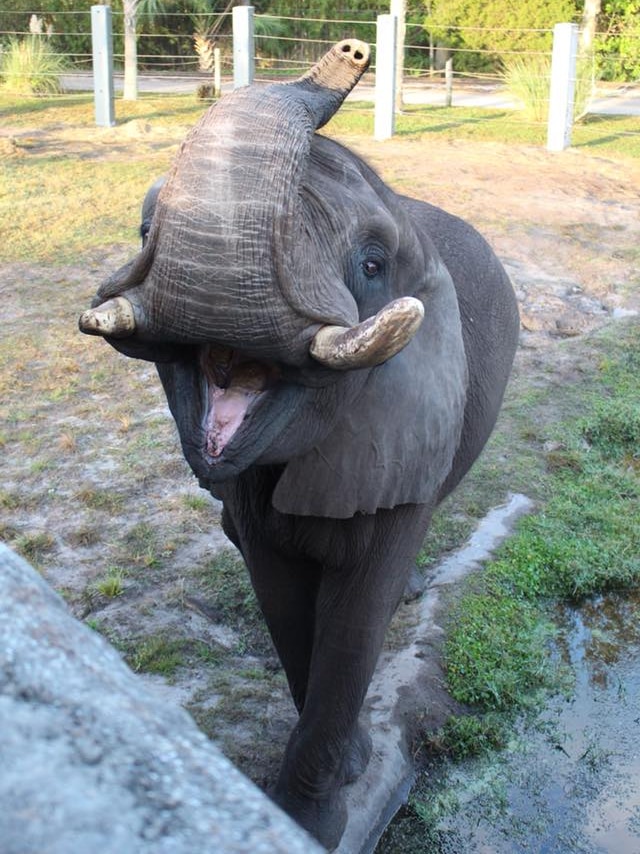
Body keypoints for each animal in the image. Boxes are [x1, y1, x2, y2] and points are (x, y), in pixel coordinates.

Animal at [80, 38, 520, 848]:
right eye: (144, 233)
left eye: (372, 265)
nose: (352, 50)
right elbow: (281, 596)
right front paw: (326, 784)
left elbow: (356, 619)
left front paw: (314, 814)